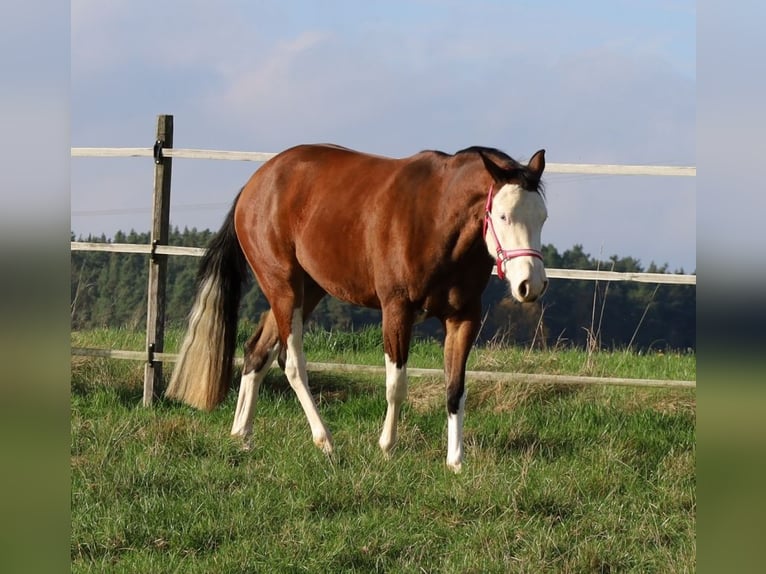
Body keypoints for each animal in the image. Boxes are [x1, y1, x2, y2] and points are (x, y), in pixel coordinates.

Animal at [166, 143, 552, 472]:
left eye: (543, 217)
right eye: (502, 216)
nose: (530, 285)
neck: (437, 219)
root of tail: (255, 184)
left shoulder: (464, 317)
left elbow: (455, 388)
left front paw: (455, 461)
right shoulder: (396, 309)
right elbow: (396, 384)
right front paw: (387, 447)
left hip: (308, 291)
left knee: (256, 352)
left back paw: (242, 436)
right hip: (283, 287)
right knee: (291, 363)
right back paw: (324, 440)